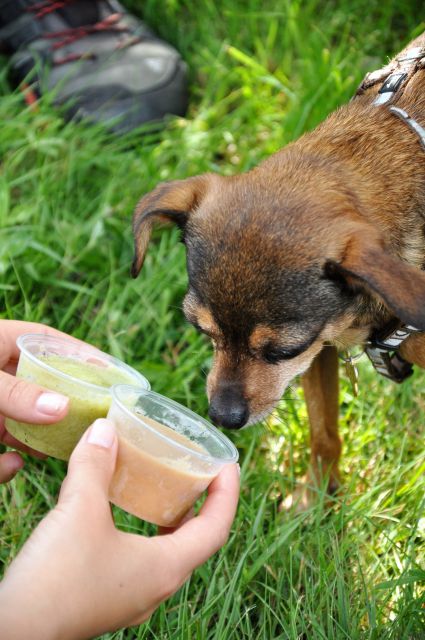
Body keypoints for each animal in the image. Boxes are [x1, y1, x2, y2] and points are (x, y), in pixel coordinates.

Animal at [131, 32, 424, 498]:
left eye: (282, 351)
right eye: (201, 331)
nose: (222, 416)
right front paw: (315, 500)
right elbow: (323, 431)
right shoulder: (320, 353)